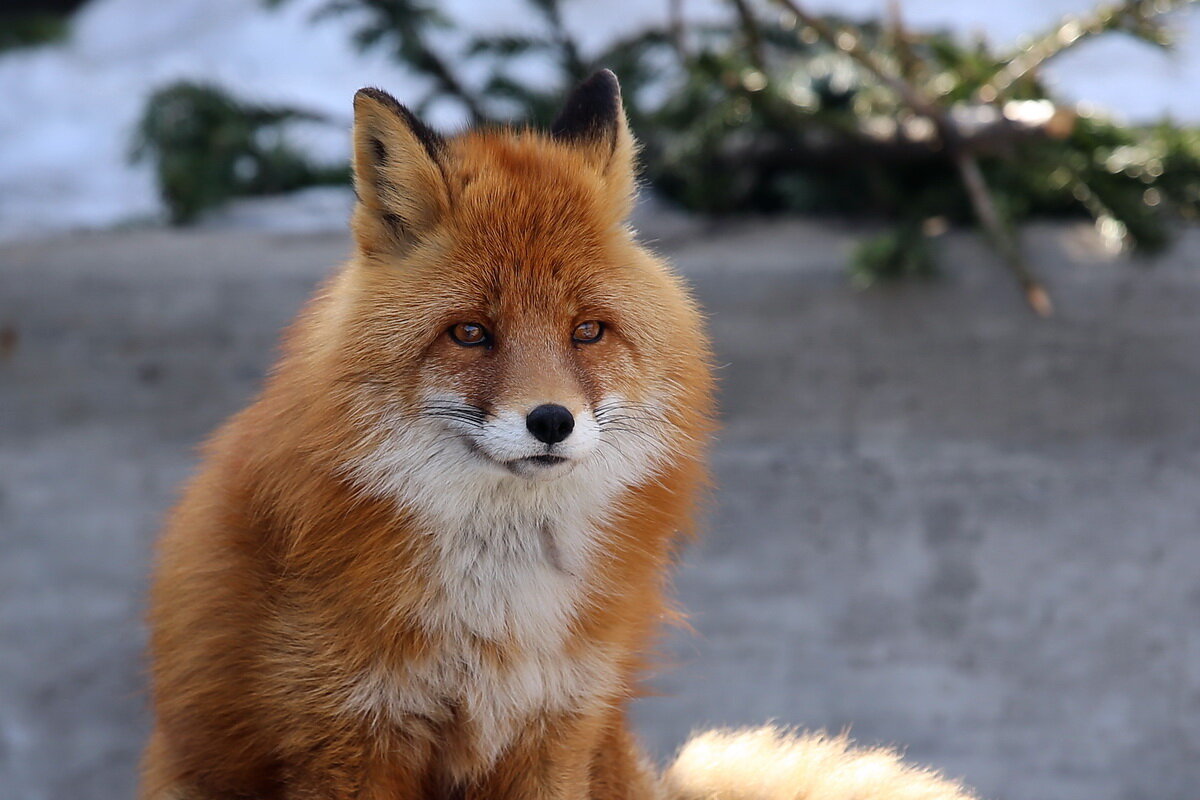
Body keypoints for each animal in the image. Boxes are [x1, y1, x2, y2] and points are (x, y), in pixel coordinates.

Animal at [140, 70, 974, 800]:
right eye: (470, 332)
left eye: (588, 331)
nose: (550, 421)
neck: (496, 612)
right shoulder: (344, 741)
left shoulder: (558, 729)